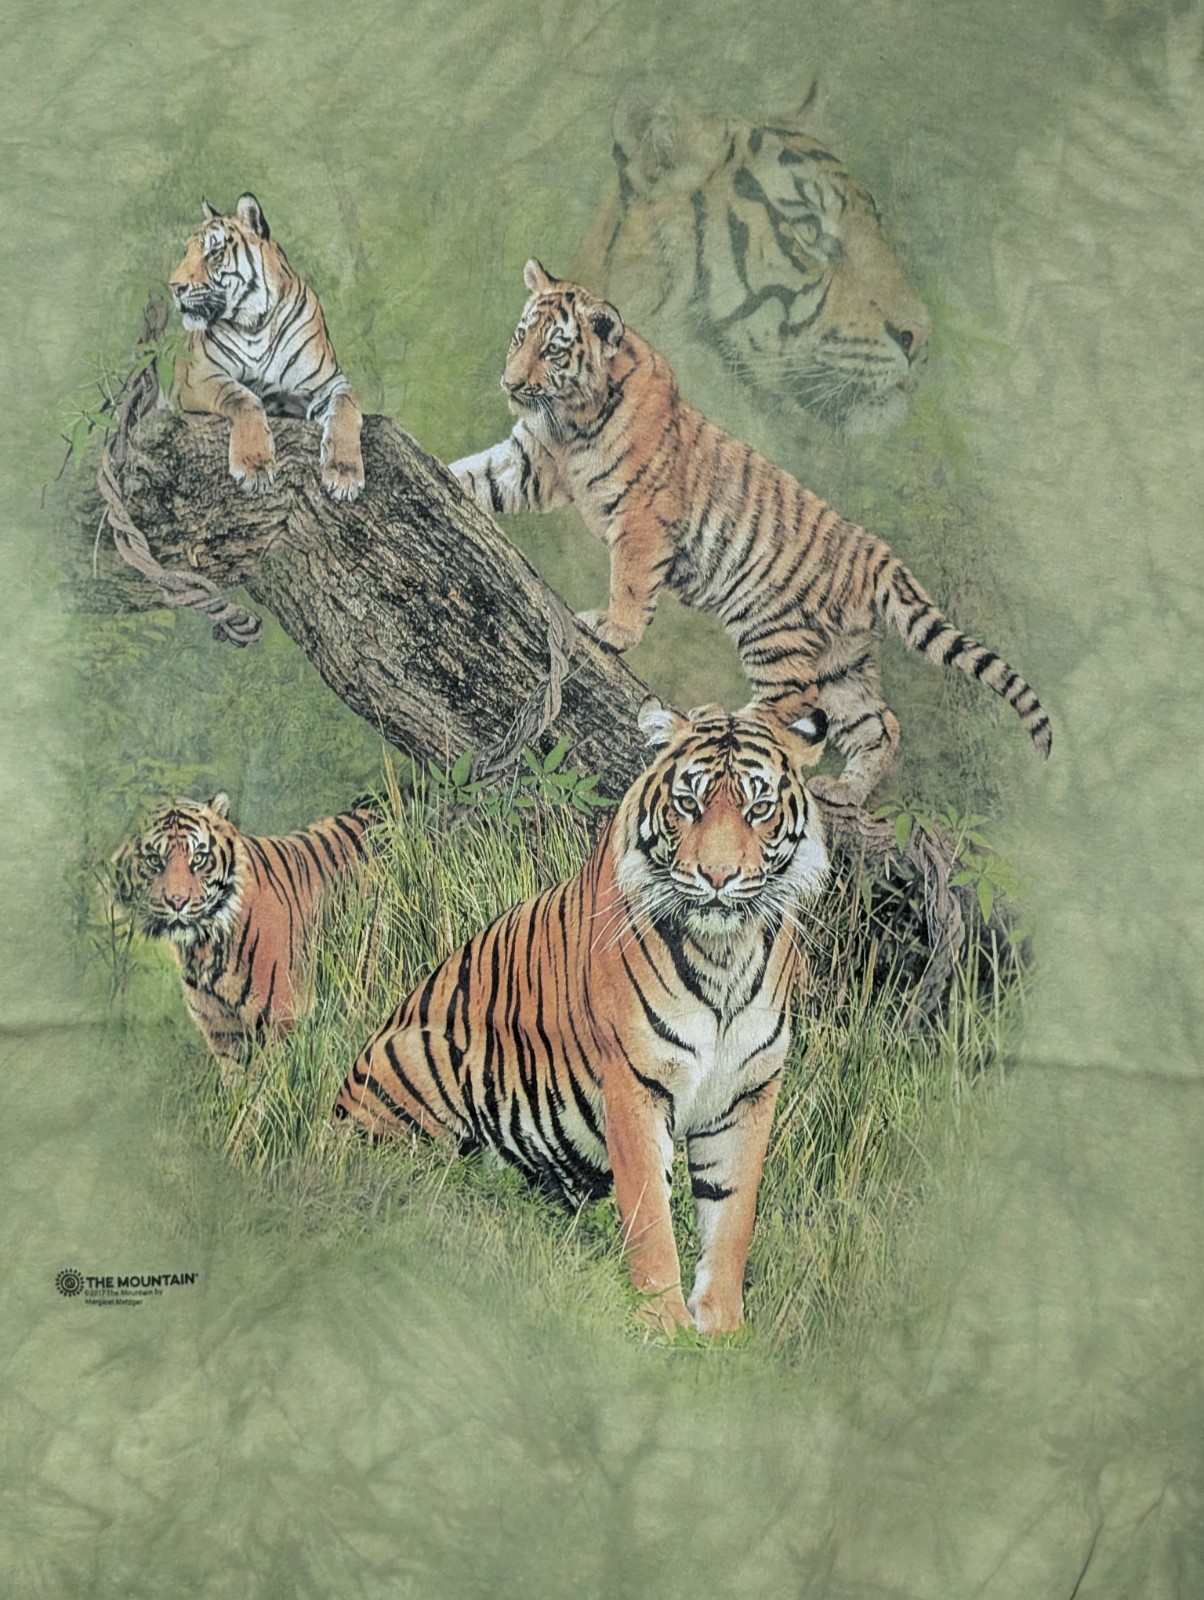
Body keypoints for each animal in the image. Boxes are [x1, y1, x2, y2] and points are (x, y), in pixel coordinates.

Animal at [114, 791, 378, 1073]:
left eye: (198, 859)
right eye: (155, 860)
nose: (177, 901)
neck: (204, 948)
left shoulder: (283, 1016)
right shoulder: (223, 1031)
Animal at [169, 193, 365, 501]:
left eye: (213, 253)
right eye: (186, 252)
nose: (174, 287)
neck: (256, 323)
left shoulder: (328, 382)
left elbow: (346, 406)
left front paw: (344, 473)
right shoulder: (198, 376)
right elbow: (243, 397)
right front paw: (254, 465)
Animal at [332, 698, 830, 1337]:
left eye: (758, 809)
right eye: (688, 804)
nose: (717, 878)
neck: (725, 954)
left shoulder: (747, 1092)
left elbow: (732, 1214)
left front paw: (720, 1327)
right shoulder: (636, 1084)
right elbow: (650, 1213)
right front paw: (663, 1322)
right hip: (420, 1056)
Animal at [449, 260, 1052, 808]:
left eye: (553, 351)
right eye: (520, 336)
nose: (509, 383)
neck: (569, 421)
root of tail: (877, 555)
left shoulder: (642, 516)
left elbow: (631, 583)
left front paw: (612, 631)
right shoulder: (530, 462)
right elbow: (477, 474)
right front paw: (441, 469)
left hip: (773, 628)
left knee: (792, 704)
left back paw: (716, 719)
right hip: (842, 661)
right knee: (879, 722)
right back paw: (844, 792)